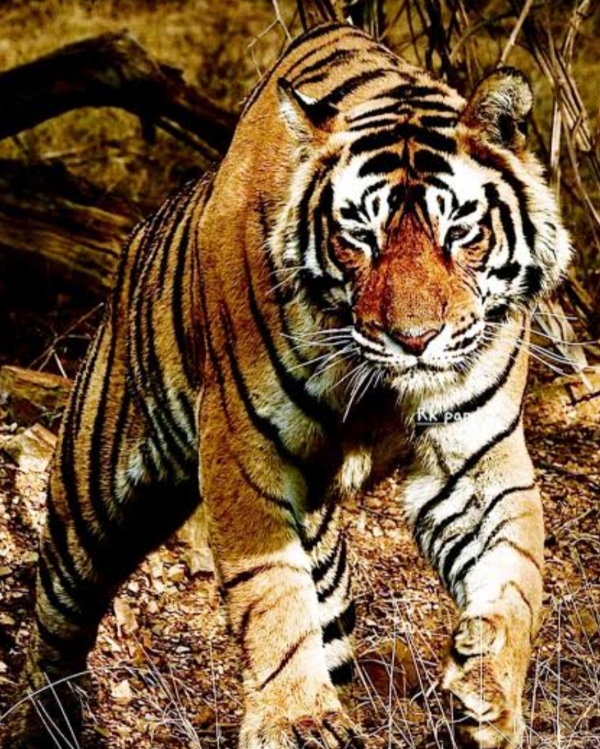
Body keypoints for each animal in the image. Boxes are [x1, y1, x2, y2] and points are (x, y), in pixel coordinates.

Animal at [8, 21, 571, 749]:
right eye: (359, 234)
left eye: (460, 230)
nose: (414, 339)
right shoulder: (244, 448)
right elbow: (271, 593)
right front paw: (296, 718)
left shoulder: (477, 454)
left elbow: (514, 570)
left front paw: (488, 691)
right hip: (89, 501)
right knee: (55, 625)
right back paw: (44, 723)